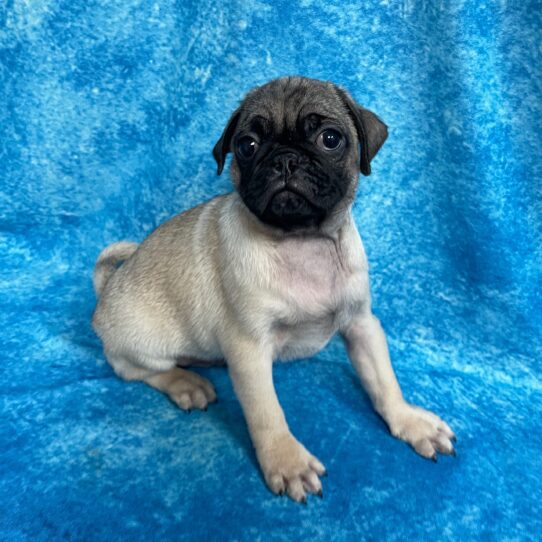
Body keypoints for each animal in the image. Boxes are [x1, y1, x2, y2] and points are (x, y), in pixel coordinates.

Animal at [92, 76, 454, 506]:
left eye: (330, 138)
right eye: (247, 145)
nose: (284, 159)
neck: (302, 241)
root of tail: (106, 289)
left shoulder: (361, 324)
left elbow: (384, 382)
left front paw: (409, 420)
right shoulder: (249, 349)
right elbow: (268, 413)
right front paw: (287, 462)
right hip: (145, 339)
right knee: (135, 369)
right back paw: (187, 384)